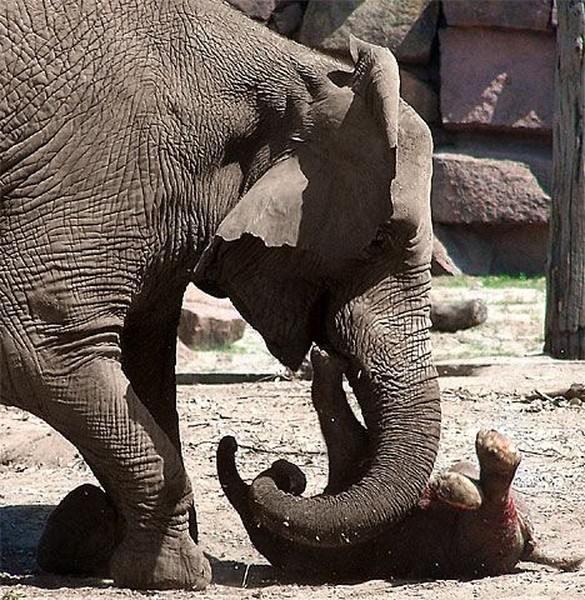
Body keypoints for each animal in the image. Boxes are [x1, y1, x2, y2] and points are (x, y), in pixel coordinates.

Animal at [0, 0, 438, 592]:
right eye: (379, 240)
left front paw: (100, 544)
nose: (275, 470)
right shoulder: (93, 169)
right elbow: (41, 349)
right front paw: (176, 574)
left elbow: (144, 365)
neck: (292, 72)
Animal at [218, 346, 580, 580]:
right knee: (491, 521)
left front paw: (324, 359)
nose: (230, 441)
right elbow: (340, 428)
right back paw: (473, 469)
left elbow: (343, 429)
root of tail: (530, 547)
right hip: (480, 552)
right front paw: (324, 362)